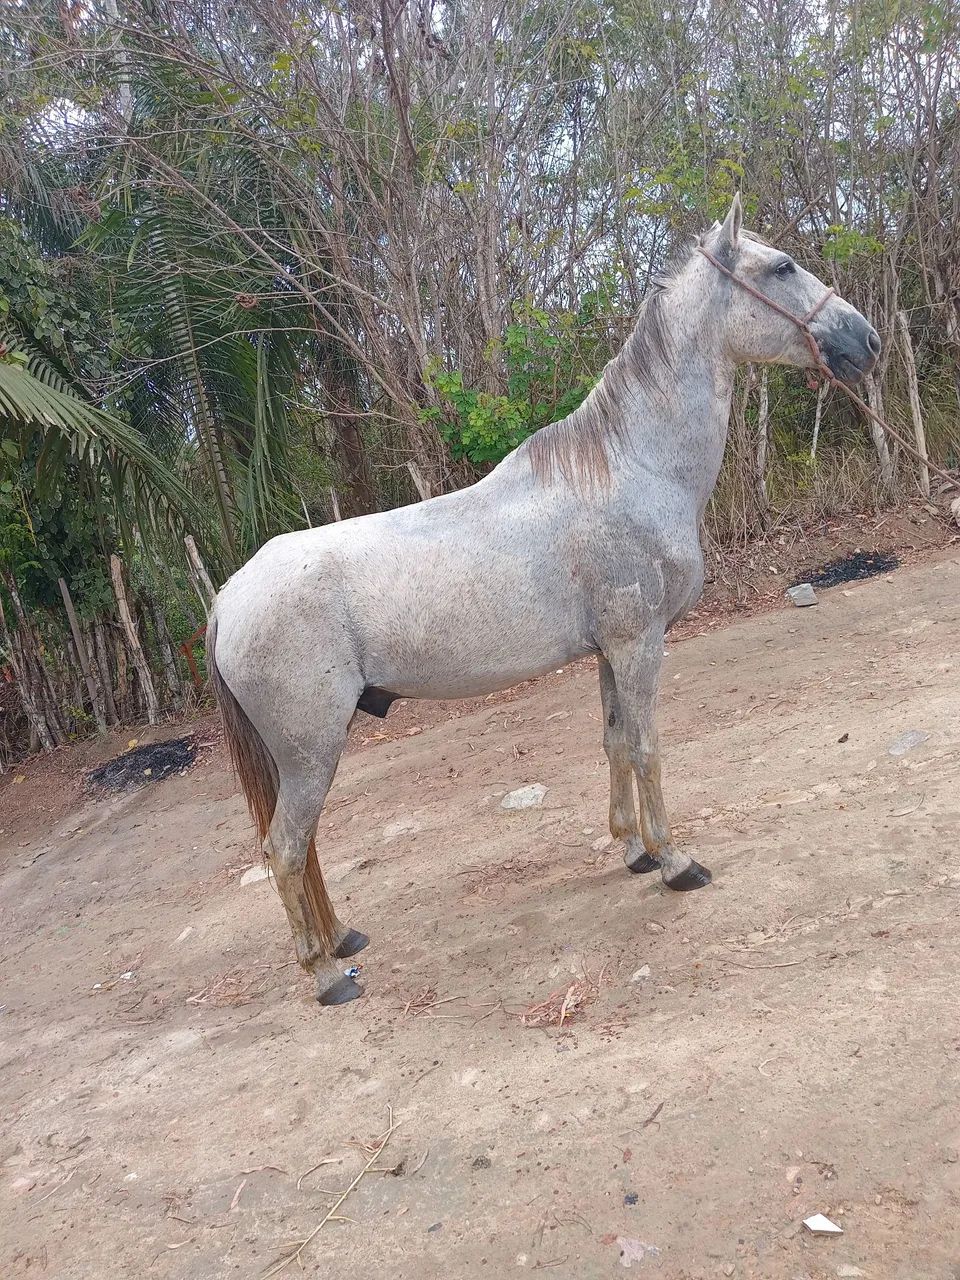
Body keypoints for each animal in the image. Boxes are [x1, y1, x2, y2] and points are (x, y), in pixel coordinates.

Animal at [209, 194, 880, 1006]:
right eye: (779, 267)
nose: (866, 340)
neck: (630, 468)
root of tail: (227, 599)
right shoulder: (640, 643)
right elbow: (649, 747)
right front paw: (677, 862)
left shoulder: (610, 651)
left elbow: (615, 743)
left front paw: (633, 852)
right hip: (311, 748)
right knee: (284, 847)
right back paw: (328, 974)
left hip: (300, 754)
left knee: (302, 847)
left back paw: (343, 939)